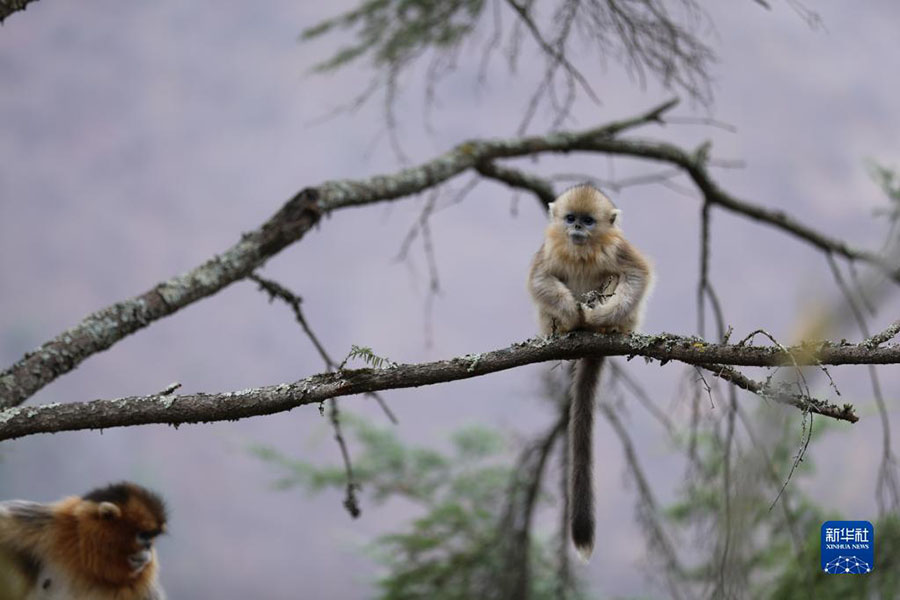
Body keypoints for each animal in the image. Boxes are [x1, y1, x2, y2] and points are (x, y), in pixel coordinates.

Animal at [0, 482, 167, 600]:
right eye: (144, 536)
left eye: (152, 537)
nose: (149, 547)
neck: (88, 565)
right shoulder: (46, 526)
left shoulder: (143, 587)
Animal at [528, 185, 652, 560]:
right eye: (570, 219)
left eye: (588, 220)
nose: (577, 229)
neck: (582, 251)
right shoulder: (549, 249)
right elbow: (540, 279)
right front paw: (571, 313)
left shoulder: (618, 247)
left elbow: (637, 274)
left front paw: (600, 316)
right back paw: (567, 327)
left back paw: (604, 327)